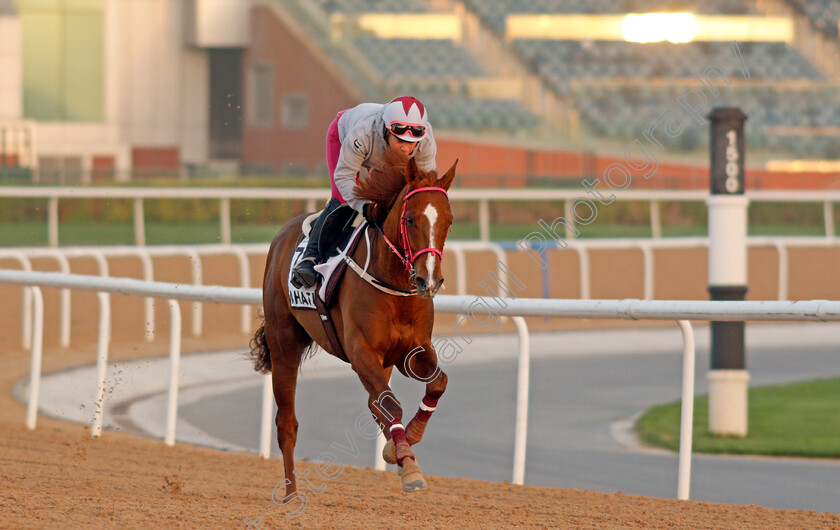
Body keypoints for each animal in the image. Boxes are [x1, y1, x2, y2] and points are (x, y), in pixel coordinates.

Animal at [251, 155, 456, 492]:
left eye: (449, 221)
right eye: (411, 220)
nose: (429, 280)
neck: (394, 285)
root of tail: (283, 234)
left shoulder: (410, 352)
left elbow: (436, 384)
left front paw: (405, 447)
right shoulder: (361, 352)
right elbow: (390, 404)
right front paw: (405, 461)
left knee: (375, 405)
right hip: (284, 343)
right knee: (287, 423)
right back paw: (291, 493)